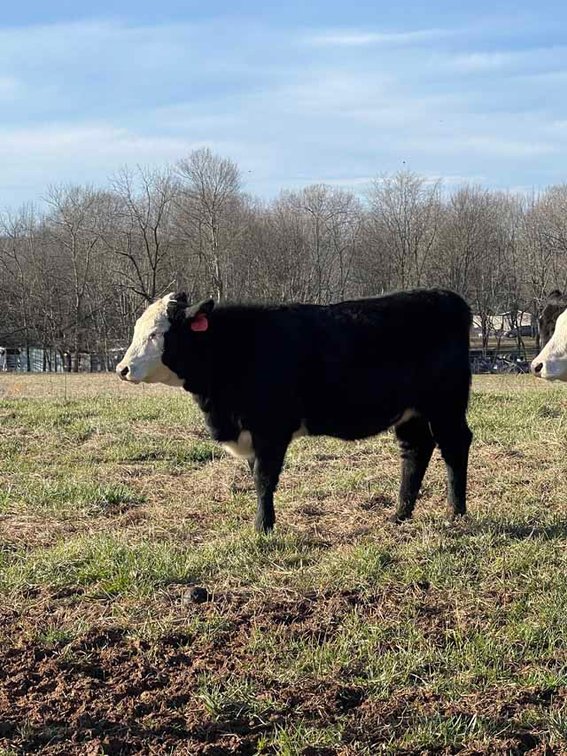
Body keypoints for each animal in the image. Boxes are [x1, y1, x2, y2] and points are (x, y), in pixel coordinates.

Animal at [116, 289, 473, 533]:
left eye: (157, 334)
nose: (122, 369)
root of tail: (445, 296)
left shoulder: (270, 429)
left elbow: (263, 478)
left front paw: (262, 528)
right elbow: (257, 477)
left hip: (446, 405)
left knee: (455, 445)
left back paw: (455, 513)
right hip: (411, 413)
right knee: (415, 450)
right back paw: (399, 515)